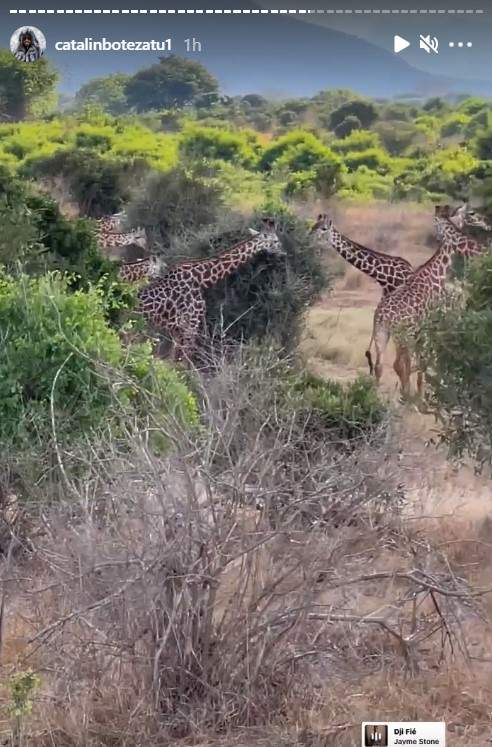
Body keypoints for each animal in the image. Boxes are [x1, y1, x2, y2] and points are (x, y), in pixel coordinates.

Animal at [137, 218, 284, 364]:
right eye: (276, 240)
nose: (284, 252)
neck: (200, 278)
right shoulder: (191, 324)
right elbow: (183, 361)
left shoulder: (177, 329)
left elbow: (173, 360)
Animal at [364, 207, 486, 398]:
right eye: (471, 214)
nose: (486, 223)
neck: (437, 271)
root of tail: (383, 317)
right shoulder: (429, 324)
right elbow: (422, 361)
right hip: (403, 335)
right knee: (398, 364)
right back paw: (405, 397)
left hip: (381, 334)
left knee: (379, 365)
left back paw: (377, 397)